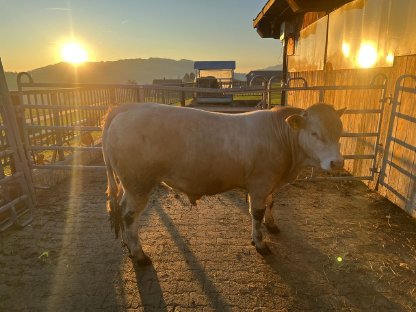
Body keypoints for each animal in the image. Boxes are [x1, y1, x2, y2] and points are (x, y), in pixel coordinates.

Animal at [101, 103, 344, 264]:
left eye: (340, 131)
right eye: (315, 133)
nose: (337, 162)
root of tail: (127, 108)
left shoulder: (270, 183)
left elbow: (271, 203)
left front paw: (272, 225)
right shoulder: (260, 184)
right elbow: (256, 213)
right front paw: (260, 243)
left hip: (130, 185)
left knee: (122, 209)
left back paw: (128, 246)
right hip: (138, 183)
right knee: (129, 216)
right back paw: (139, 255)